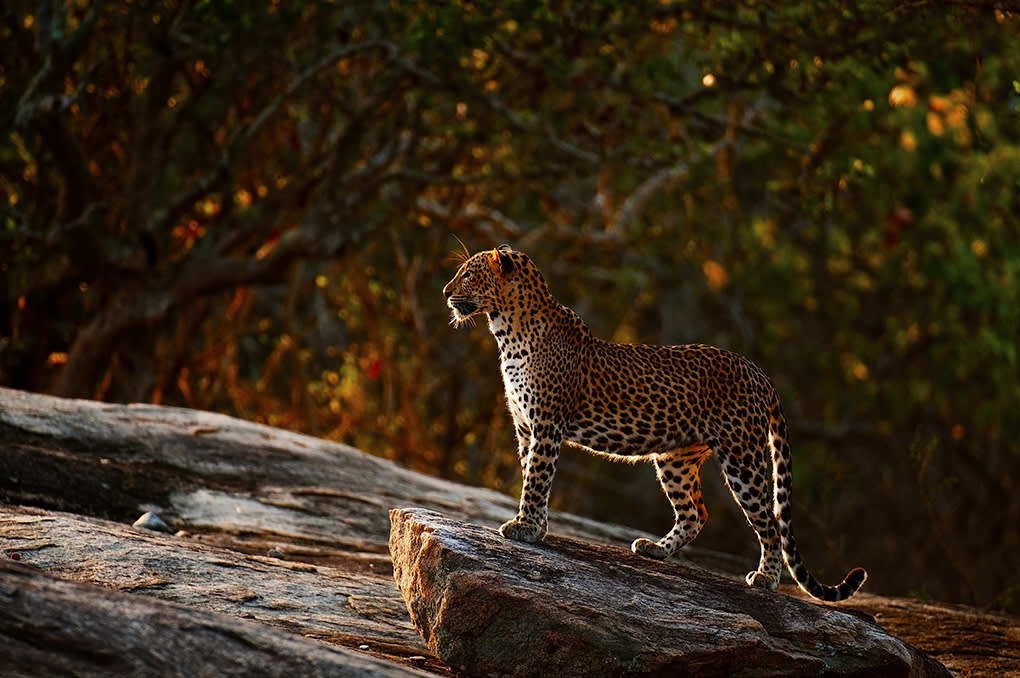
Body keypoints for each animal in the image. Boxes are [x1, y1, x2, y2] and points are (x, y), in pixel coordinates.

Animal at [442, 244, 864, 603]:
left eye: (468, 274)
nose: (445, 292)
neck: (508, 334)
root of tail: (758, 371)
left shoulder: (546, 425)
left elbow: (536, 478)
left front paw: (525, 528)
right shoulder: (525, 428)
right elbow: (532, 474)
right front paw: (538, 526)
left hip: (743, 458)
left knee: (771, 522)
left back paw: (765, 579)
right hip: (676, 458)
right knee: (696, 514)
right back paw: (656, 550)